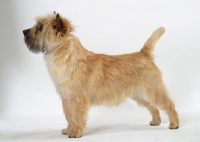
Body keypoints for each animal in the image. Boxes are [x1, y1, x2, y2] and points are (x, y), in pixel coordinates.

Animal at [22, 11, 179, 138]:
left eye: (40, 27)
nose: (23, 31)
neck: (66, 55)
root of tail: (144, 53)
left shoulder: (77, 98)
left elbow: (77, 116)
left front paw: (76, 132)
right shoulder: (66, 98)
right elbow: (69, 116)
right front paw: (68, 129)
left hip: (152, 90)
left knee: (168, 104)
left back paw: (174, 124)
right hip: (140, 94)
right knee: (153, 107)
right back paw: (155, 121)